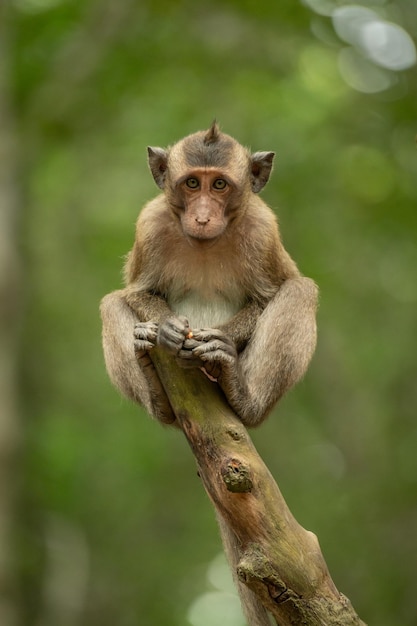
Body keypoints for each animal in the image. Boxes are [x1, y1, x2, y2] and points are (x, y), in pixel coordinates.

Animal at [99, 122, 316, 624]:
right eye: (191, 184)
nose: (201, 216)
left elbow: (273, 293)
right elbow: (136, 293)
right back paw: (156, 386)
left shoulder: (263, 230)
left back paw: (238, 390)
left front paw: (215, 344)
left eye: (220, 185)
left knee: (302, 290)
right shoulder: (149, 225)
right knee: (111, 304)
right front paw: (167, 330)